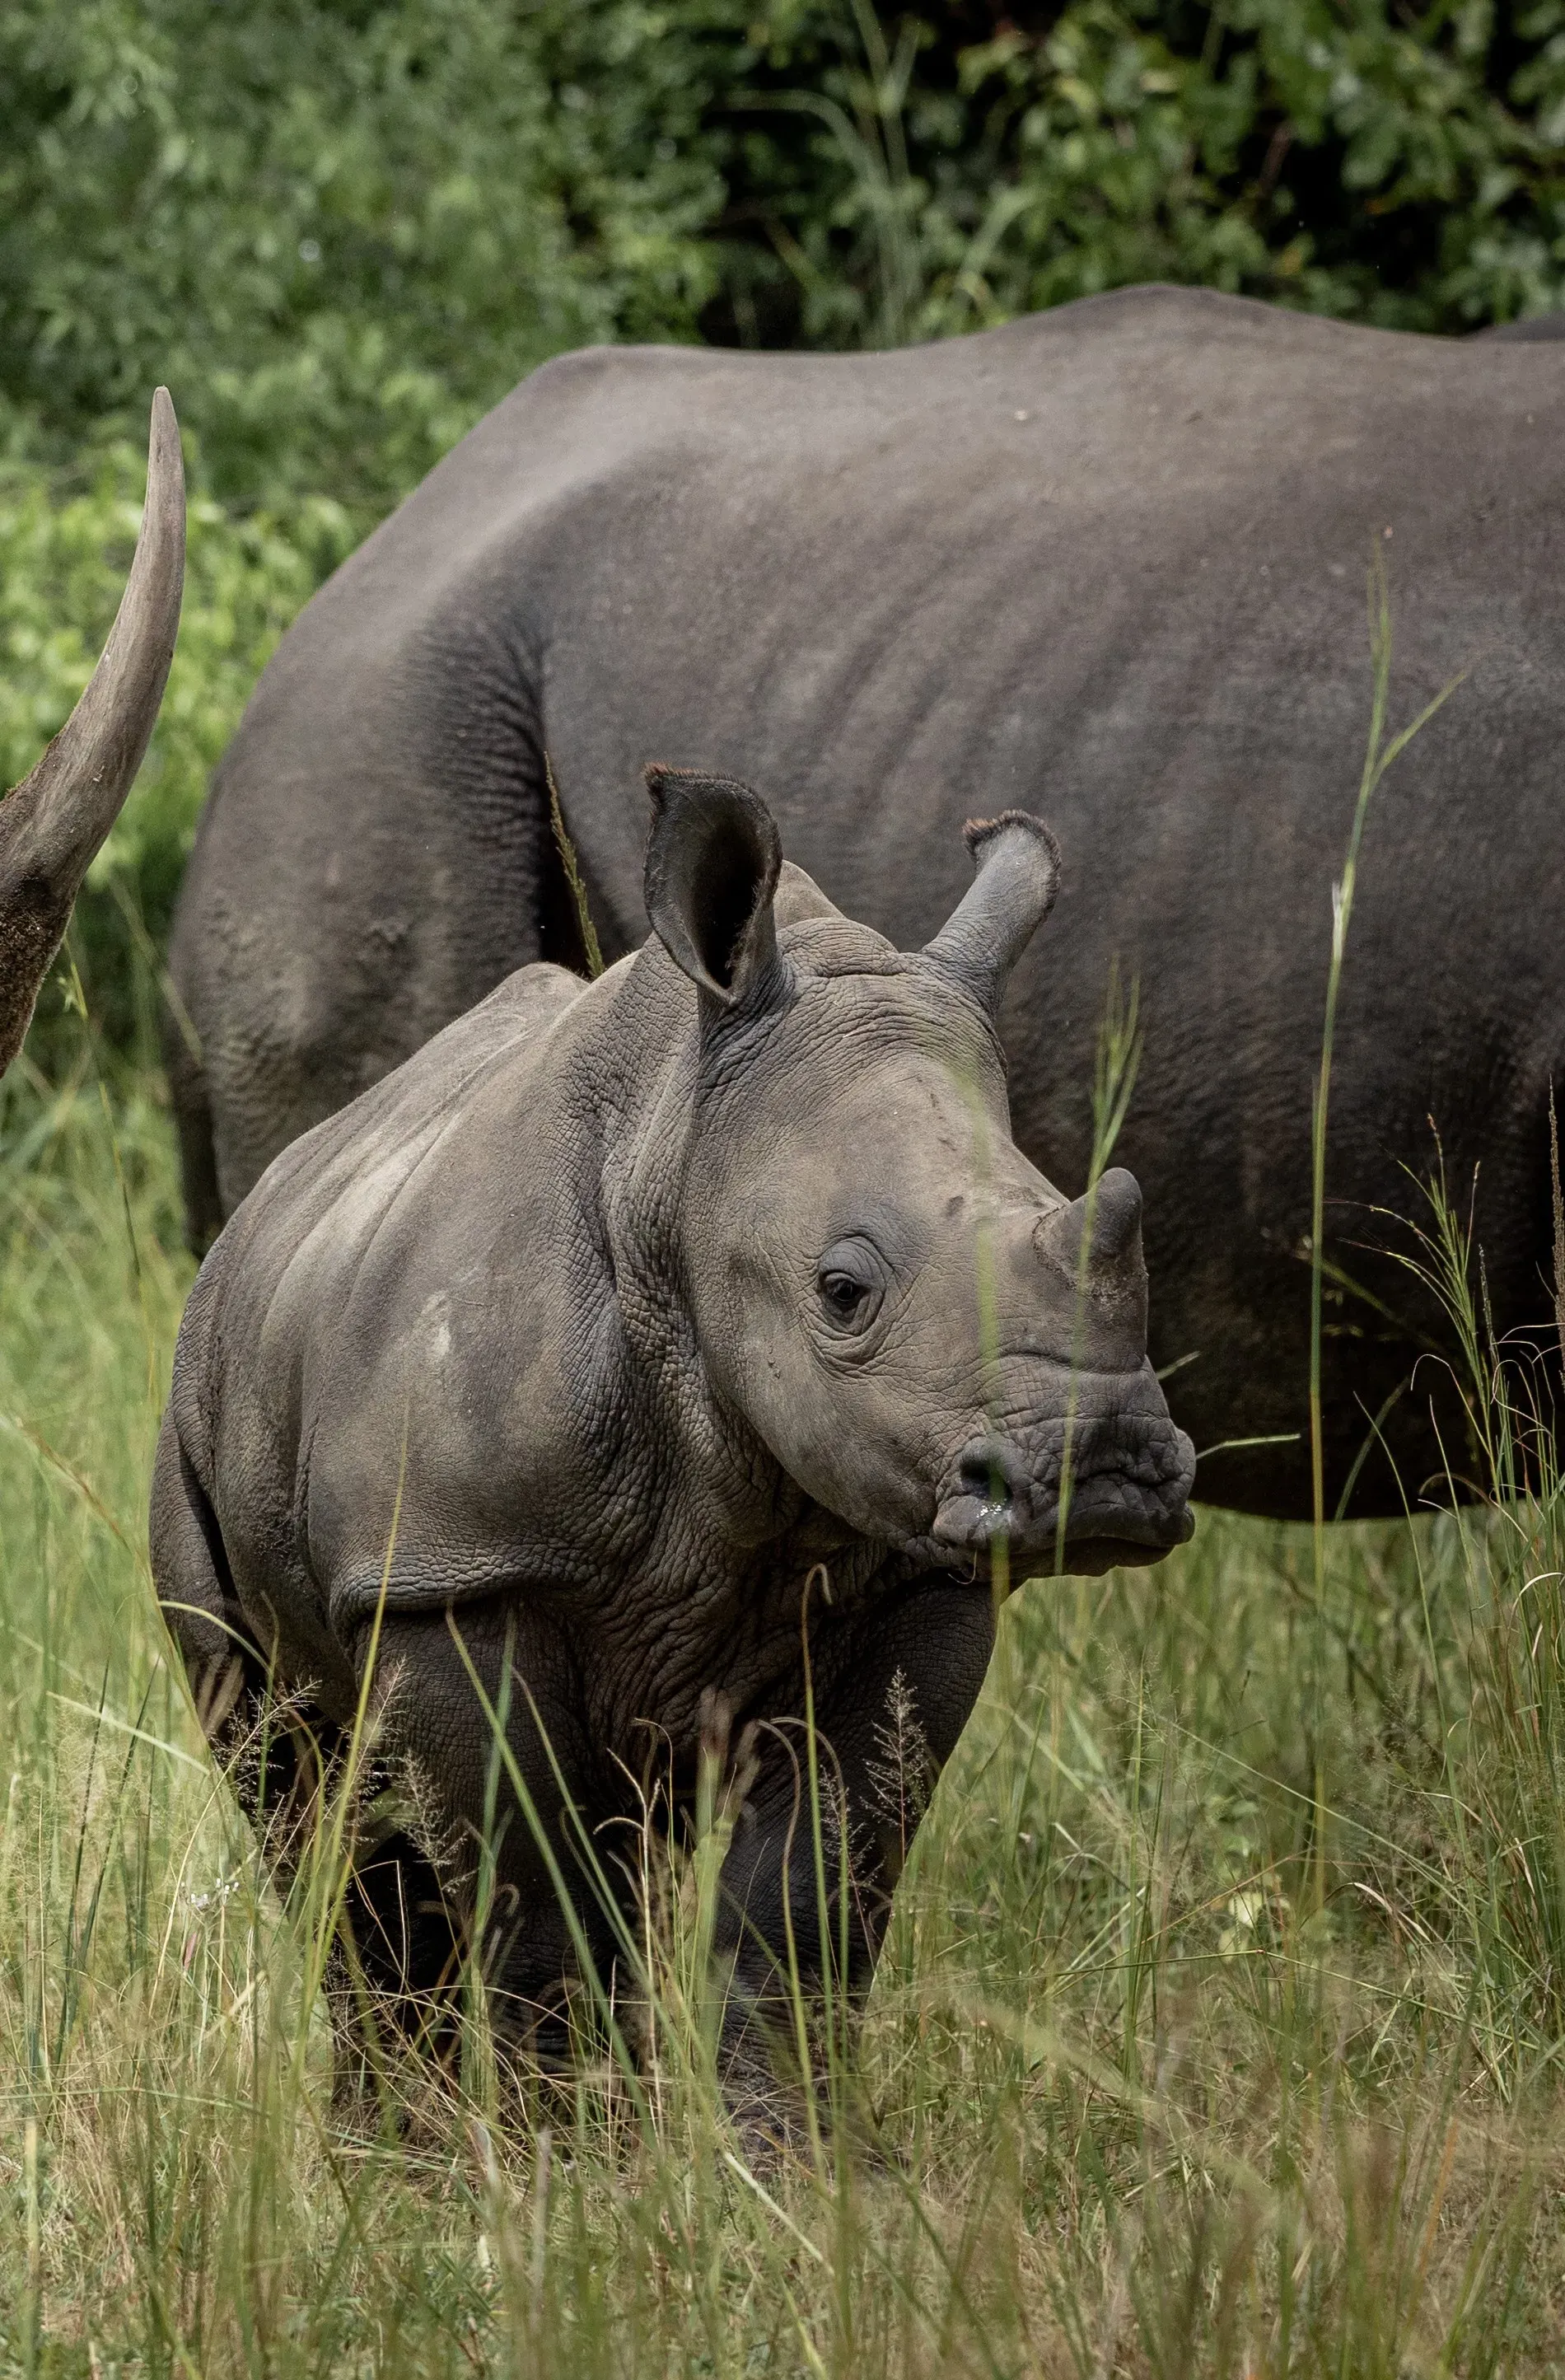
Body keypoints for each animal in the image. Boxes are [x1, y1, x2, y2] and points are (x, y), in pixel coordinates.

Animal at [151, 772, 1195, 2068]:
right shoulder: (451, 1565)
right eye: (842, 1291)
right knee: (302, 1808)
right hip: (193, 1412)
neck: (675, 1159)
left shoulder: (925, 1572)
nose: (1102, 1470)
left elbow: (807, 1910)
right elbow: (533, 1908)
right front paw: (553, 2124)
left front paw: (781, 2124)